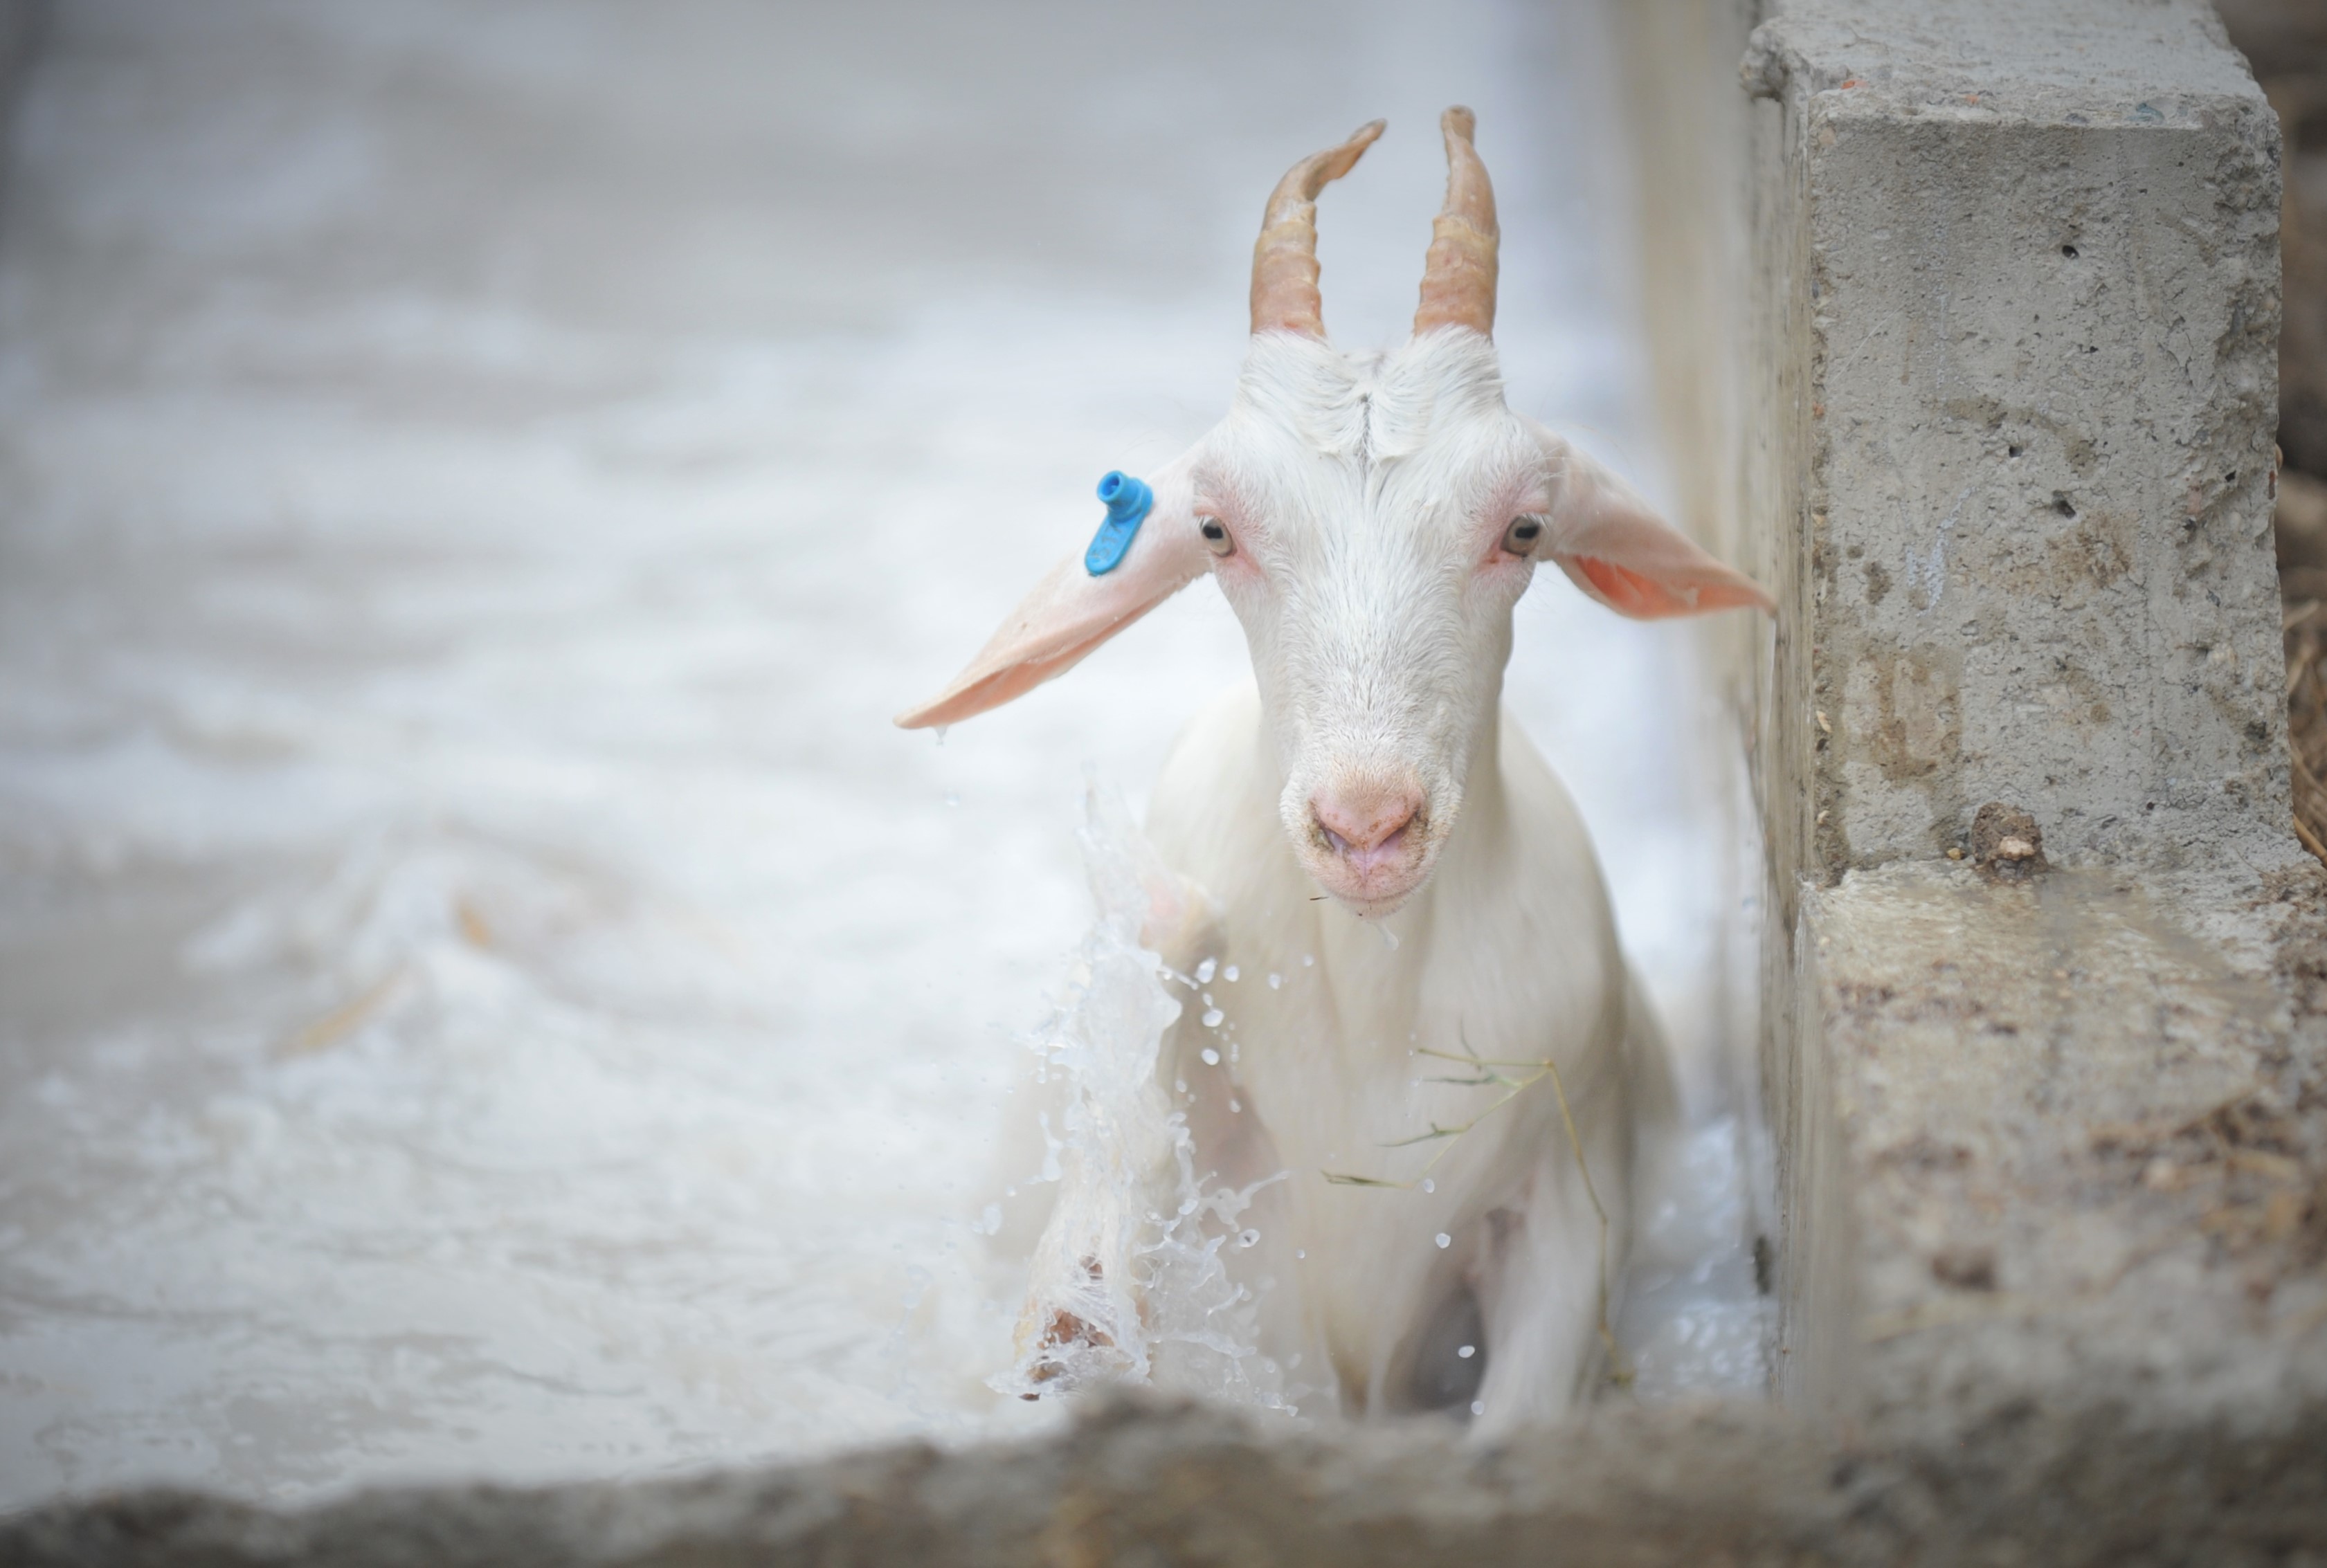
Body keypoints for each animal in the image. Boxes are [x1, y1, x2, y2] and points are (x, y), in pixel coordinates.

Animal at [894, 109, 1759, 1433]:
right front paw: (1076, 1312)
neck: (1369, 995)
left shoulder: (1567, 1203)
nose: (1365, 826)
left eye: (1522, 528)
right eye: (1214, 530)